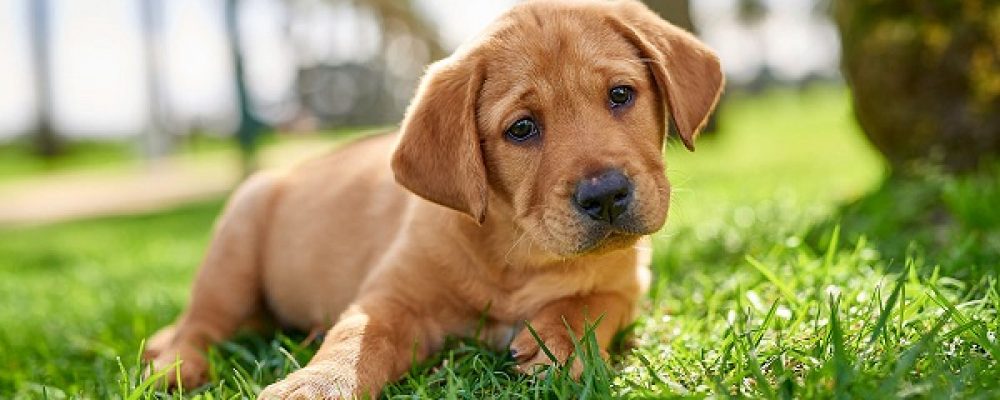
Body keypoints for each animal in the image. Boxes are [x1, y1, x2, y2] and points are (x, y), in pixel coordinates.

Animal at [143, 0, 723, 397]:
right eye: (522, 129)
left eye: (621, 95)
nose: (605, 197)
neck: (516, 252)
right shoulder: (392, 299)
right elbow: (358, 340)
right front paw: (317, 384)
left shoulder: (629, 283)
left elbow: (591, 303)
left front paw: (558, 342)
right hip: (235, 244)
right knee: (200, 323)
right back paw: (174, 363)